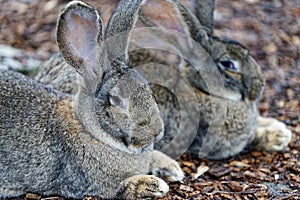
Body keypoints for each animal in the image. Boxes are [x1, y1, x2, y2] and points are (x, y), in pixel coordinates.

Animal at [0, 0, 188, 198]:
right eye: (116, 100)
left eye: (148, 88)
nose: (157, 132)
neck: (89, 131)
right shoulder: (96, 185)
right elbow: (125, 187)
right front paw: (155, 184)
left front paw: (172, 168)